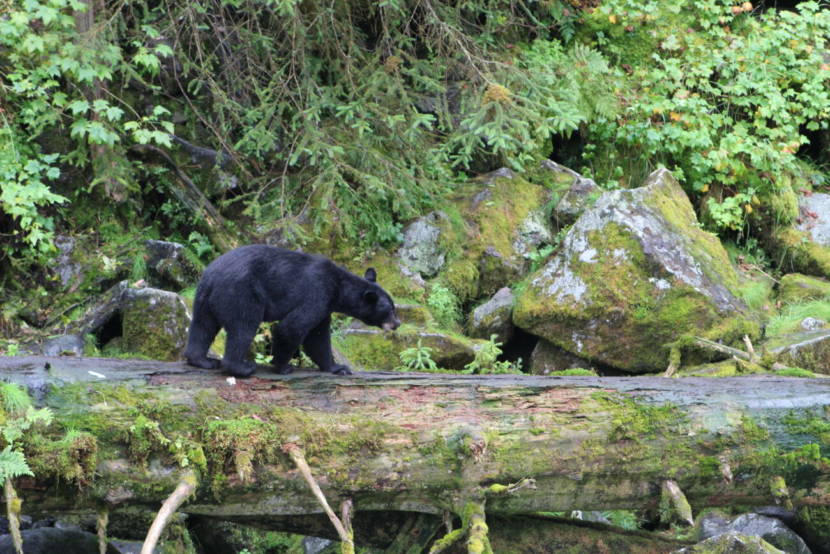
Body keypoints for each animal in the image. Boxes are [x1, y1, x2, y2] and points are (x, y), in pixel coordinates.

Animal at [184, 245, 400, 377]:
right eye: (390, 310)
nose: (397, 323)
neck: (339, 288)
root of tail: (212, 276)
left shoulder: (325, 306)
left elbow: (318, 336)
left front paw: (338, 367)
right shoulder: (317, 294)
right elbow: (293, 327)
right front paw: (283, 366)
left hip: (203, 298)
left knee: (202, 326)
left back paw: (202, 360)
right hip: (241, 293)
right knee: (243, 327)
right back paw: (242, 367)